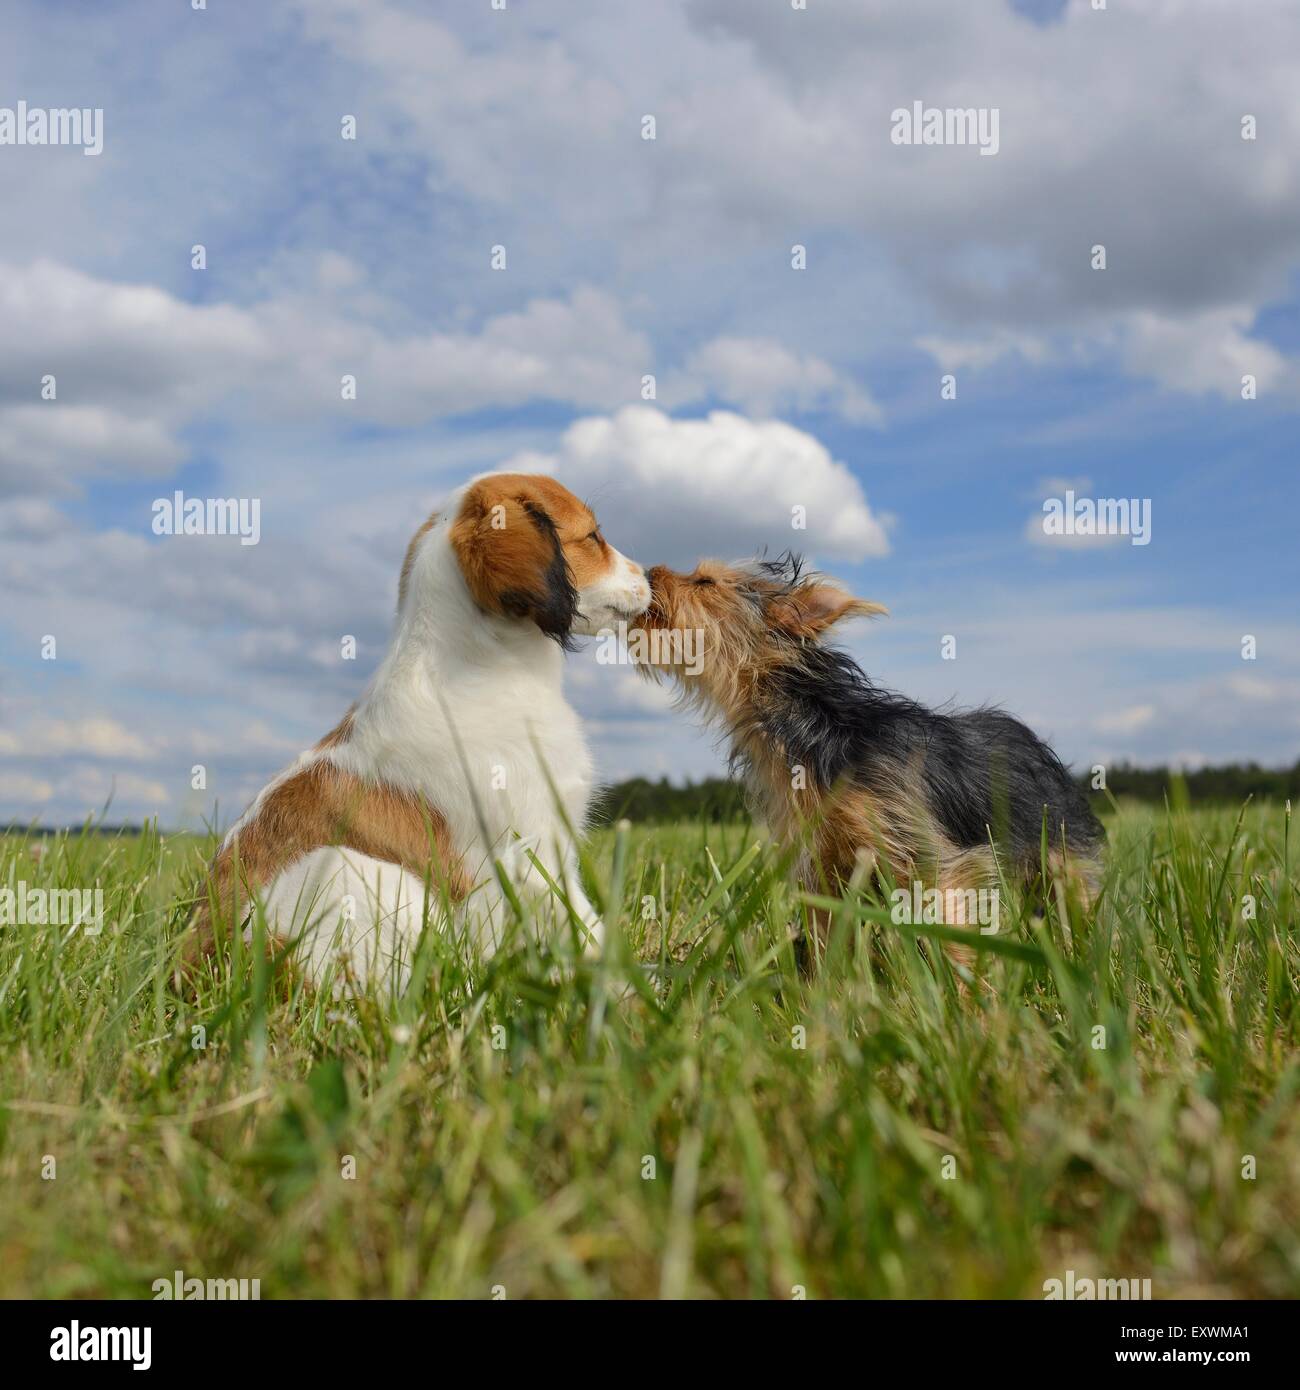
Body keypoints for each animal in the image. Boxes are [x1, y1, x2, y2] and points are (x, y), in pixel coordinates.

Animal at [190, 475, 650, 989]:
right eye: (593, 537)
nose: (650, 576)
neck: (486, 668)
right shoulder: (532, 854)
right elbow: (590, 933)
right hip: (359, 870)